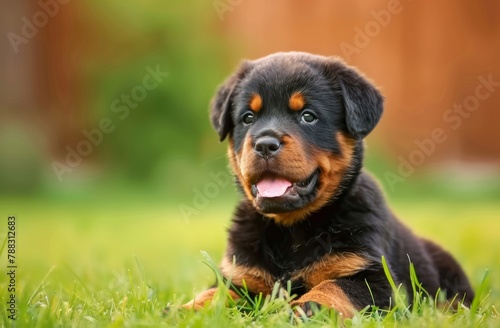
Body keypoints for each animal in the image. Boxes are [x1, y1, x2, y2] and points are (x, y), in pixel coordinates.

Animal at [182, 52, 474, 318]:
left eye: (308, 116)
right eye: (248, 118)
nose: (265, 144)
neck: (291, 231)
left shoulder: (377, 280)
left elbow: (332, 288)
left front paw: (303, 310)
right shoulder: (240, 275)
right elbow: (216, 293)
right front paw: (185, 310)